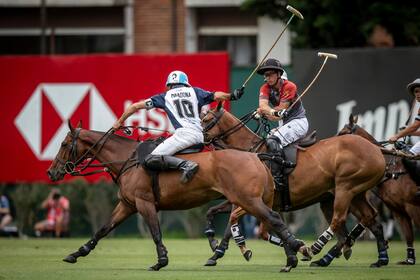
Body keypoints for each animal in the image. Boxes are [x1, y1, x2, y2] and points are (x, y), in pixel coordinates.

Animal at [47, 120, 310, 272]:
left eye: (63, 144)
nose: (52, 172)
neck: (127, 159)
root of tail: (256, 156)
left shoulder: (144, 202)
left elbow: (155, 231)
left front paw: (161, 260)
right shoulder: (127, 204)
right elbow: (103, 229)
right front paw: (76, 253)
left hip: (248, 200)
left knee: (273, 220)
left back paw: (299, 251)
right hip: (256, 199)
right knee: (273, 221)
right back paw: (290, 258)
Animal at [200, 105, 388, 266]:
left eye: (206, 119)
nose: (200, 138)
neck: (249, 151)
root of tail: (376, 149)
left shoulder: (251, 200)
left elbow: (232, 224)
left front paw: (219, 252)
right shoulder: (249, 200)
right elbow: (213, 213)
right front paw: (214, 246)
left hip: (346, 187)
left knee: (340, 220)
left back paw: (317, 248)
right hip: (350, 195)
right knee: (369, 220)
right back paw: (377, 258)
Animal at [334, 113, 420, 264]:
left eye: (342, 133)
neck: (391, 170)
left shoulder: (412, 206)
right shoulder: (398, 210)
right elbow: (408, 234)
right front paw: (409, 259)